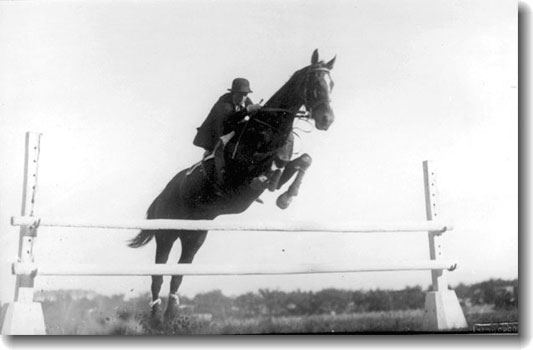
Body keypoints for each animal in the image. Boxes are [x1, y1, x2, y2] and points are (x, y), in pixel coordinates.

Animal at [129, 49, 334, 322]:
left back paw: (172, 317)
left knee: (178, 274)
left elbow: (301, 161)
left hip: (194, 235)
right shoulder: (239, 178)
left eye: (332, 85)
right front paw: (275, 186)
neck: (268, 130)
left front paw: (285, 198)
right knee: (157, 275)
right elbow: (263, 173)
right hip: (166, 233)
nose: (327, 120)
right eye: (315, 85)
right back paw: (155, 319)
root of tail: (161, 195)